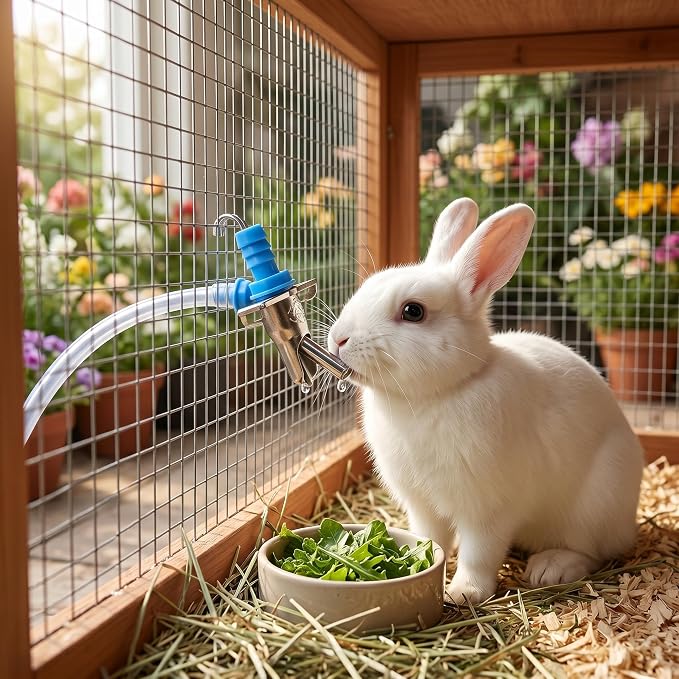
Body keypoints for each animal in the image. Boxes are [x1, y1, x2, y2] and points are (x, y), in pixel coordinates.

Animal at [328, 197, 644, 604]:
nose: (338, 338)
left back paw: (551, 567)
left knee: (590, 550)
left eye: (413, 311)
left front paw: (464, 593)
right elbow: (430, 537)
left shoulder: (488, 510)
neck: (437, 394)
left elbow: (480, 553)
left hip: (594, 505)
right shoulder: (422, 504)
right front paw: (419, 558)